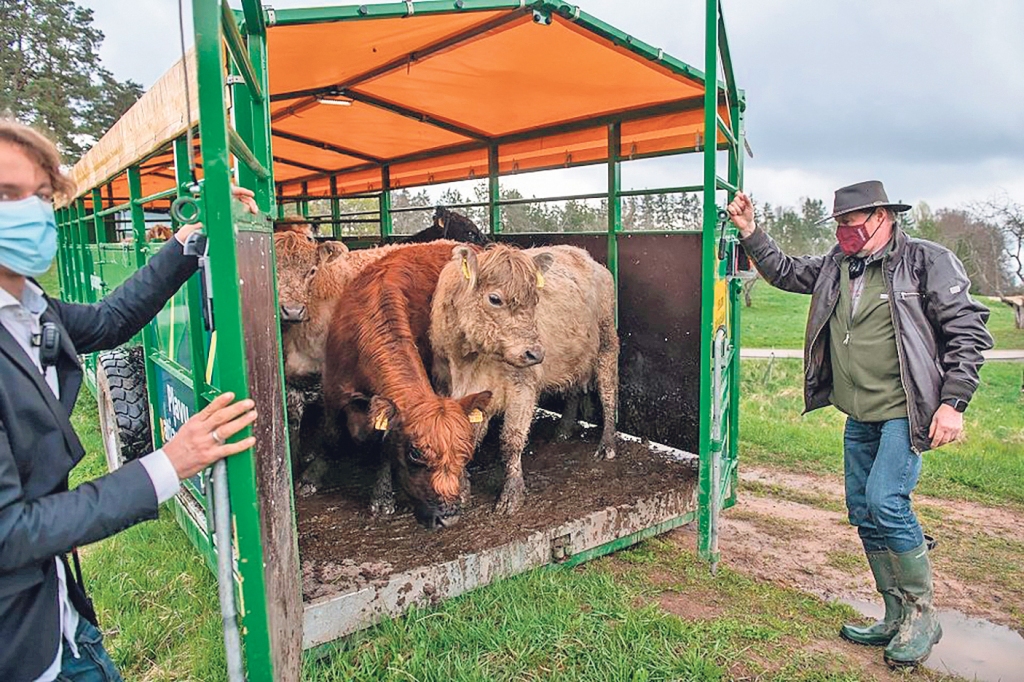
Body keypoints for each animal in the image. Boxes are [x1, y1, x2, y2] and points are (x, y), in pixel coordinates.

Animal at [321, 241, 493, 528]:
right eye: (415, 453)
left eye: (465, 454)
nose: (449, 518)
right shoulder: (332, 387)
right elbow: (330, 434)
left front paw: (382, 497)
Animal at [430, 241, 614, 512]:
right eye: (494, 298)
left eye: (535, 300)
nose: (535, 353)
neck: (466, 362)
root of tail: (587, 257)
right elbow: (464, 437)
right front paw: (460, 490)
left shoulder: (522, 388)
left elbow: (512, 439)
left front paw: (512, 494)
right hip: (573, 357)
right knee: (572, 390)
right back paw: (563, 430)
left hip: (607, 343)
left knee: (608, 389)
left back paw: (607, 445)